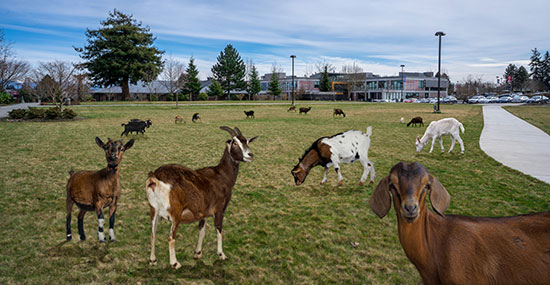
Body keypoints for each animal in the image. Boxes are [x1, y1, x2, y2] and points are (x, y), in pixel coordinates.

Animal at [147, 125, 258, 268]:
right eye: (234, 143)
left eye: (247, 141)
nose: (250, 155)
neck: (221, 175)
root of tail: (155, 177)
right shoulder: (219, 209)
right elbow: (219, 229)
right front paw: (222, 255)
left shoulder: (203, 212)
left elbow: (202, 230)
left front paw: (197, 253)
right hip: (175, 213)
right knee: (171, 237)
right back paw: (175, 263)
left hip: (154, 211)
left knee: (153, 234)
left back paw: (153, 260)